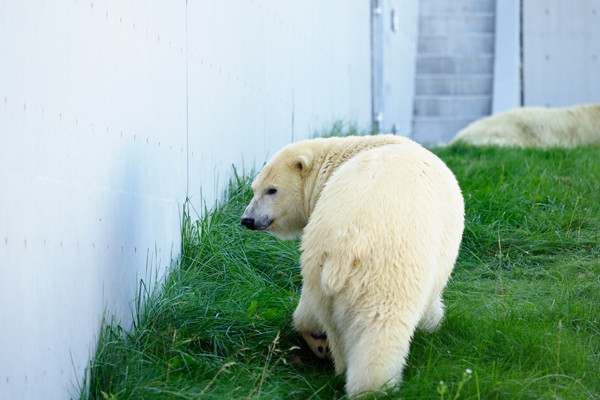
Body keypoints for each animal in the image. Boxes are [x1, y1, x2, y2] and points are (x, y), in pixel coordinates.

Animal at [239, 135, 464, 396]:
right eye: (256, 189)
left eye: (270, 190)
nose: (247, 219)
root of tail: (345, 247)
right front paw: (433, 323)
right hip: (385, 270)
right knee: (379, 330)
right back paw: (376, 387)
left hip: (319, 268)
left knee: (332, 324)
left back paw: (333, 358)